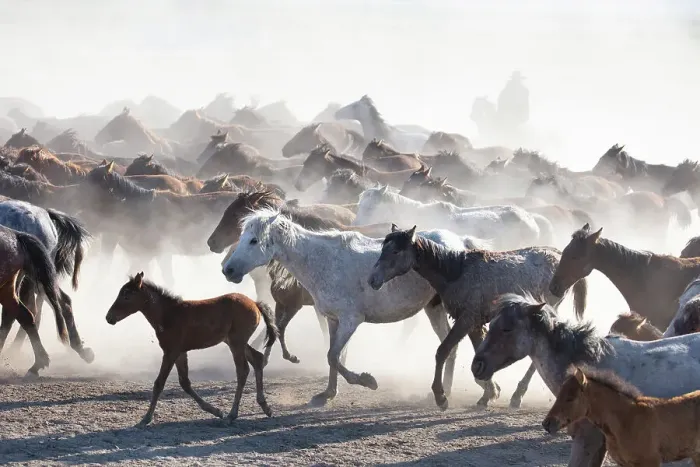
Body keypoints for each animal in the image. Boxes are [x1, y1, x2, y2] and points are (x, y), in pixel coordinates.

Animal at [105, 272, 278, 427]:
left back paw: (232, 415)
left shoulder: (170, 352)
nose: (109, 317)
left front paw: (145, 419)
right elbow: (185, 383)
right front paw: (216, 411)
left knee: (242, 371)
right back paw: (265, 407)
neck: (168, 314)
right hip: (235, 342)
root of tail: (255, 303)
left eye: (126, 296)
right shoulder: (180, 352)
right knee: (257, 358)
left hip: (236, 342)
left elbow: (159, 383)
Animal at [221, 209, 475, 407]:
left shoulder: (351, 320)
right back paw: (444, 393)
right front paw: (328, 393)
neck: (321, 261)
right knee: (450, 346)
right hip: (434, 308)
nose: (228, 270)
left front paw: (366, 381)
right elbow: (332, 355)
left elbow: (334, 355)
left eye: (254, 240)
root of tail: (460, 242)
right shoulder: (333, 320)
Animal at [368, 225, 587, 409]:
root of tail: (557, 254)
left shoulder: (467, 319)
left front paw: (441, 397)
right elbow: (478, 351)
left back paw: (518, 395)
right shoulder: (474, 324)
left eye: (396, 251)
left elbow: (442, 351)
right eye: (383, 249)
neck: (457, 271)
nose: (372, 279)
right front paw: (489, 393)